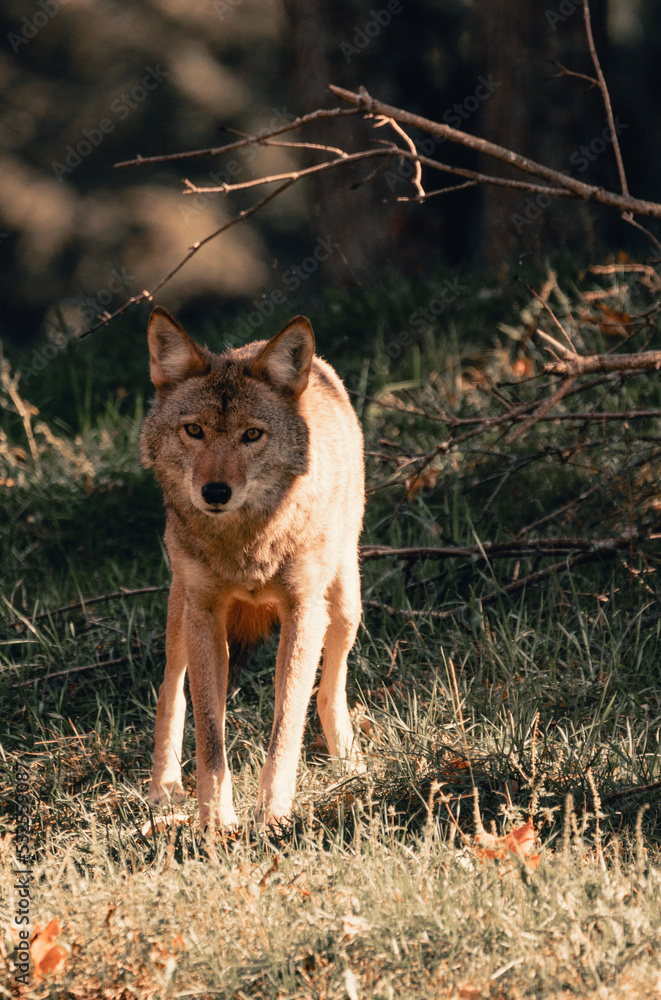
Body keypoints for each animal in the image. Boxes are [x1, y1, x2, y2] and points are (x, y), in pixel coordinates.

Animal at [140, 307, 365, 828]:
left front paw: (273, 816)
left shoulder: (304, 612)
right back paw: (164, 788)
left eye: (251, 435)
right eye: (194, 430)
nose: (215, 492)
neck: (248, 545)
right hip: (181, 612)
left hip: (345, 605)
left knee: (328, 689)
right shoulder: (205, 614)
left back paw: (350, 763)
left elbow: (286, 723)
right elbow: (209, 732)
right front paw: (215, 822)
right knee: (170, 689)